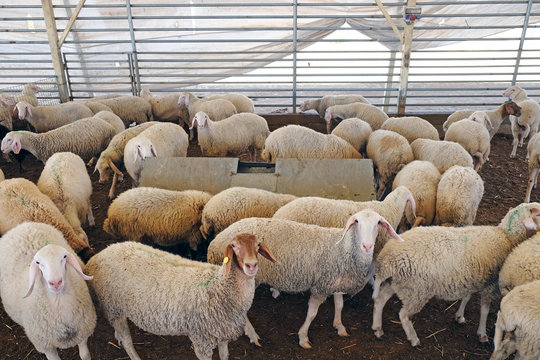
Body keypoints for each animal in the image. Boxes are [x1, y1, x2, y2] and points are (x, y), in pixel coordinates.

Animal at [0, 222, 96, 360]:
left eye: (64, 257)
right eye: (38, 262)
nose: (55, 282)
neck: (59, 303)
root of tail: (24, 225)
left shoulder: (83, 332)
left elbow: (85, 355)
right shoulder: (46, 345)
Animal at [87, 232, 278, 358]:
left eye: (258, 245)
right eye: (234, 246)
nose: (251, 265)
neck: (220, 285)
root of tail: (100, 254)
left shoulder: (222, 332)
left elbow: (224, 355)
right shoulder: (201, 339)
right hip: (113, 305)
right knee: (127, 340)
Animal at [209, 210, 402, 348]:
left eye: (378, 223)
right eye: (357, 222)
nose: (367, 246)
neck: (345, 249)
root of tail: (217, 241)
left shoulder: (335, 282)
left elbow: (339, 305)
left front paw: (339, 326)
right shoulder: (321, 287)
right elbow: (312, 313)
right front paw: (303, 338)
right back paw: (253, 336)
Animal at [374, 202, 540, 346]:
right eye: (538, 213)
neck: (506, 237)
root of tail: (387, 258)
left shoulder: (469, 277)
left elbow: (466, 297)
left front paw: (459, 316)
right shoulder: (490, 285)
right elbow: (485, 310)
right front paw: (482, 334)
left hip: (398, 283)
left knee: (380, 300)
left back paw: (378, 329)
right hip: (417, 290)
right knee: (403, 315)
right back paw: (414, 339)